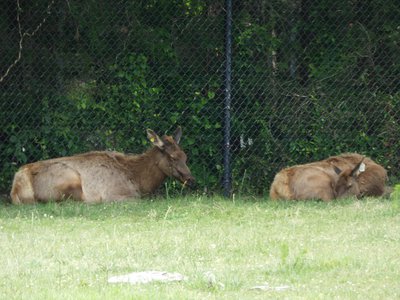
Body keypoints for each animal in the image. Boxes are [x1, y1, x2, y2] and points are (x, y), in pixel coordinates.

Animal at [9, 126, 195, 204]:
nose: (191, 179)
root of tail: (16, 187)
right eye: (172, 157)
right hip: (70, 179)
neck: (138, 180)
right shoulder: (120, 194)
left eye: (185, 156)